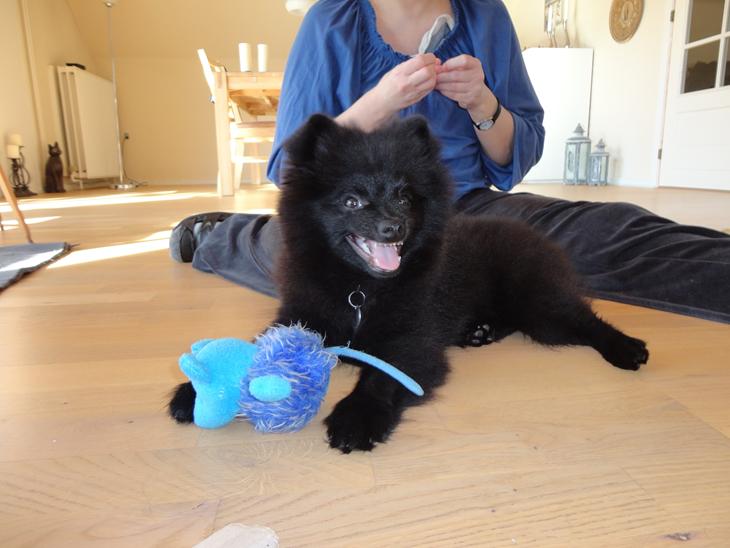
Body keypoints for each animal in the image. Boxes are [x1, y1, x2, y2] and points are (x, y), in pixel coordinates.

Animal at [170, 115, 648, 453]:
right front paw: (195, 388)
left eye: (403, 196)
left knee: (586, 321)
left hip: (541, 305)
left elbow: (382, 377)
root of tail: (535, 235)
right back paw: (481, 332)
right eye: (352, 201)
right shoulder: (302, 314)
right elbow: (257, 346)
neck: (360, 291)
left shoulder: (411, 339)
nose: (393, 227)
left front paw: (356, 418)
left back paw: (627, 349)